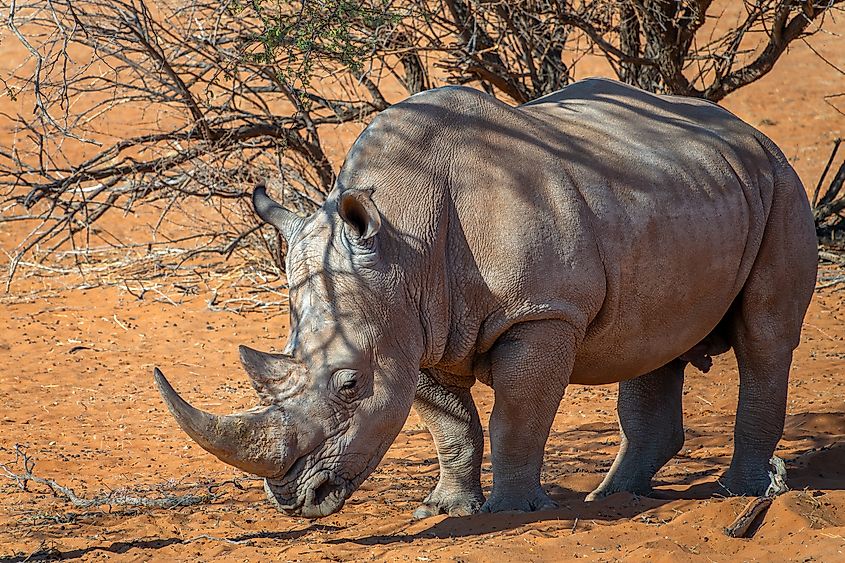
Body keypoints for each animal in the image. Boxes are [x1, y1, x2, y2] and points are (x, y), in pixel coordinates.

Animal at [154, 78, 817, 518]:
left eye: (348, 385)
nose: (296, 499)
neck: (403, 241)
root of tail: (747, 130)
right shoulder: (412, 327)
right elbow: (451, 424)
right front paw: (447, 509)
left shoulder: (542, 313)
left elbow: (516, 417)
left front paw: (513, 511)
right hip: (681, 191)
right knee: (652, 342)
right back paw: (614, 496)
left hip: (782, 186)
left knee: (764, 337)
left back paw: (738, 492)